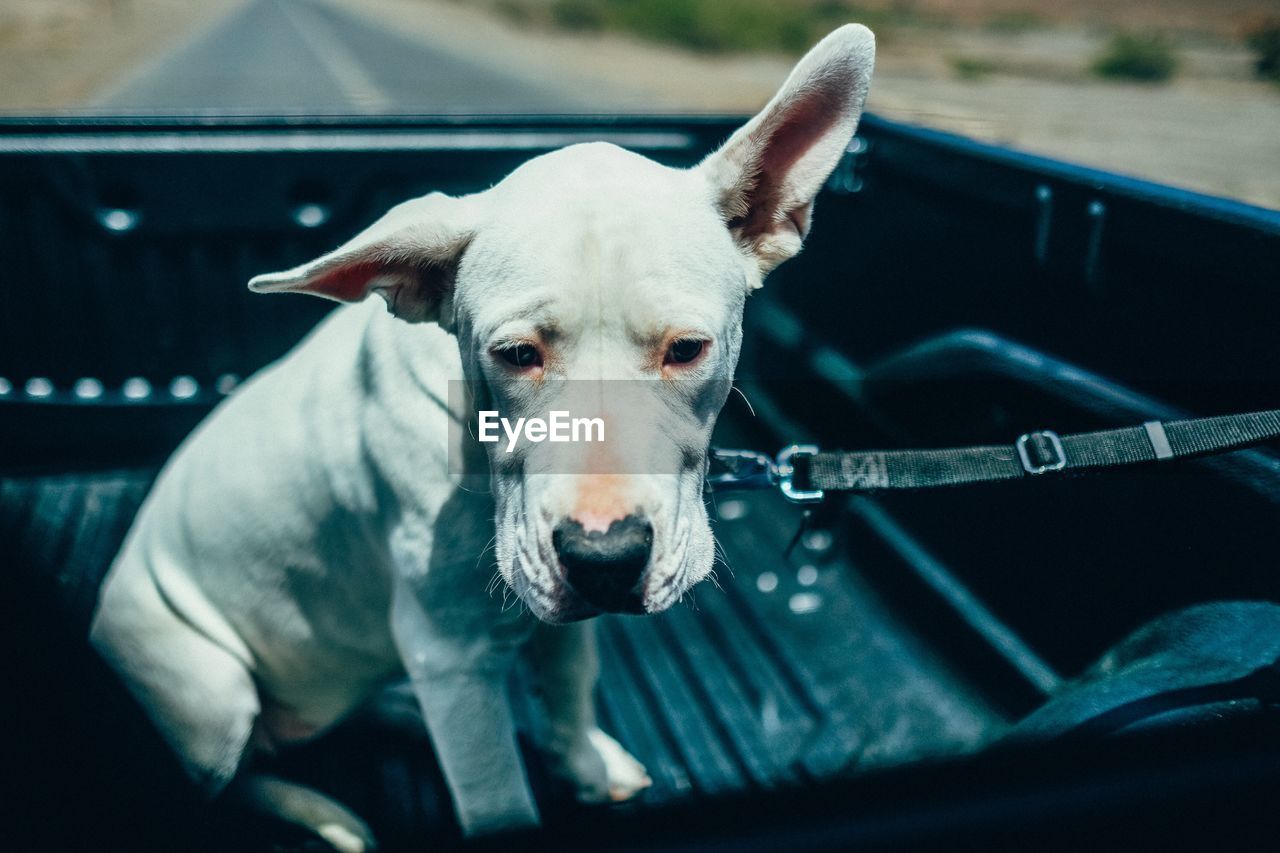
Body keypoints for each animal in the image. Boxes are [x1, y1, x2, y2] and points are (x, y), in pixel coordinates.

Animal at [90, 26, 870, 850]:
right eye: (516, 354)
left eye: (688, 349)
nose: (605, 557)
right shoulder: (450, 650)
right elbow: (497, 794)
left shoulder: (542, 604)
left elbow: (570, 675)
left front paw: (583, 759)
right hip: (211, 696)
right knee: (226, 784)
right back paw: (324, 812)